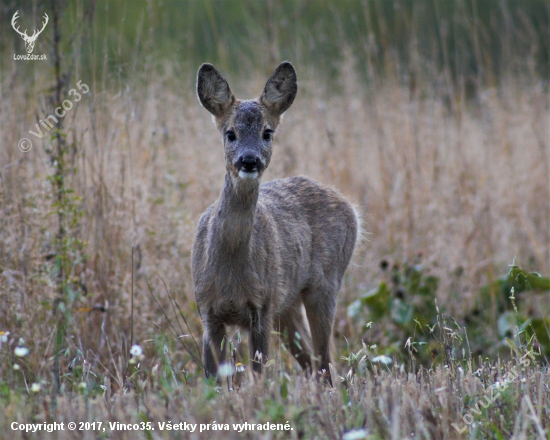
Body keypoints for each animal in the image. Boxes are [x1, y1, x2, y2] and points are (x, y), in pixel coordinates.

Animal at [192, 62, 360, 384]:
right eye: (230, 133)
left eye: (267, 132)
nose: (249, 160)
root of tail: (351, 208)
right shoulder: (207, 310)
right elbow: (213, 379)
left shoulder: (262, 306)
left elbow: (259, 375)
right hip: (288, 304)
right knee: (312, 362)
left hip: (325, 283)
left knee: (324, 363)